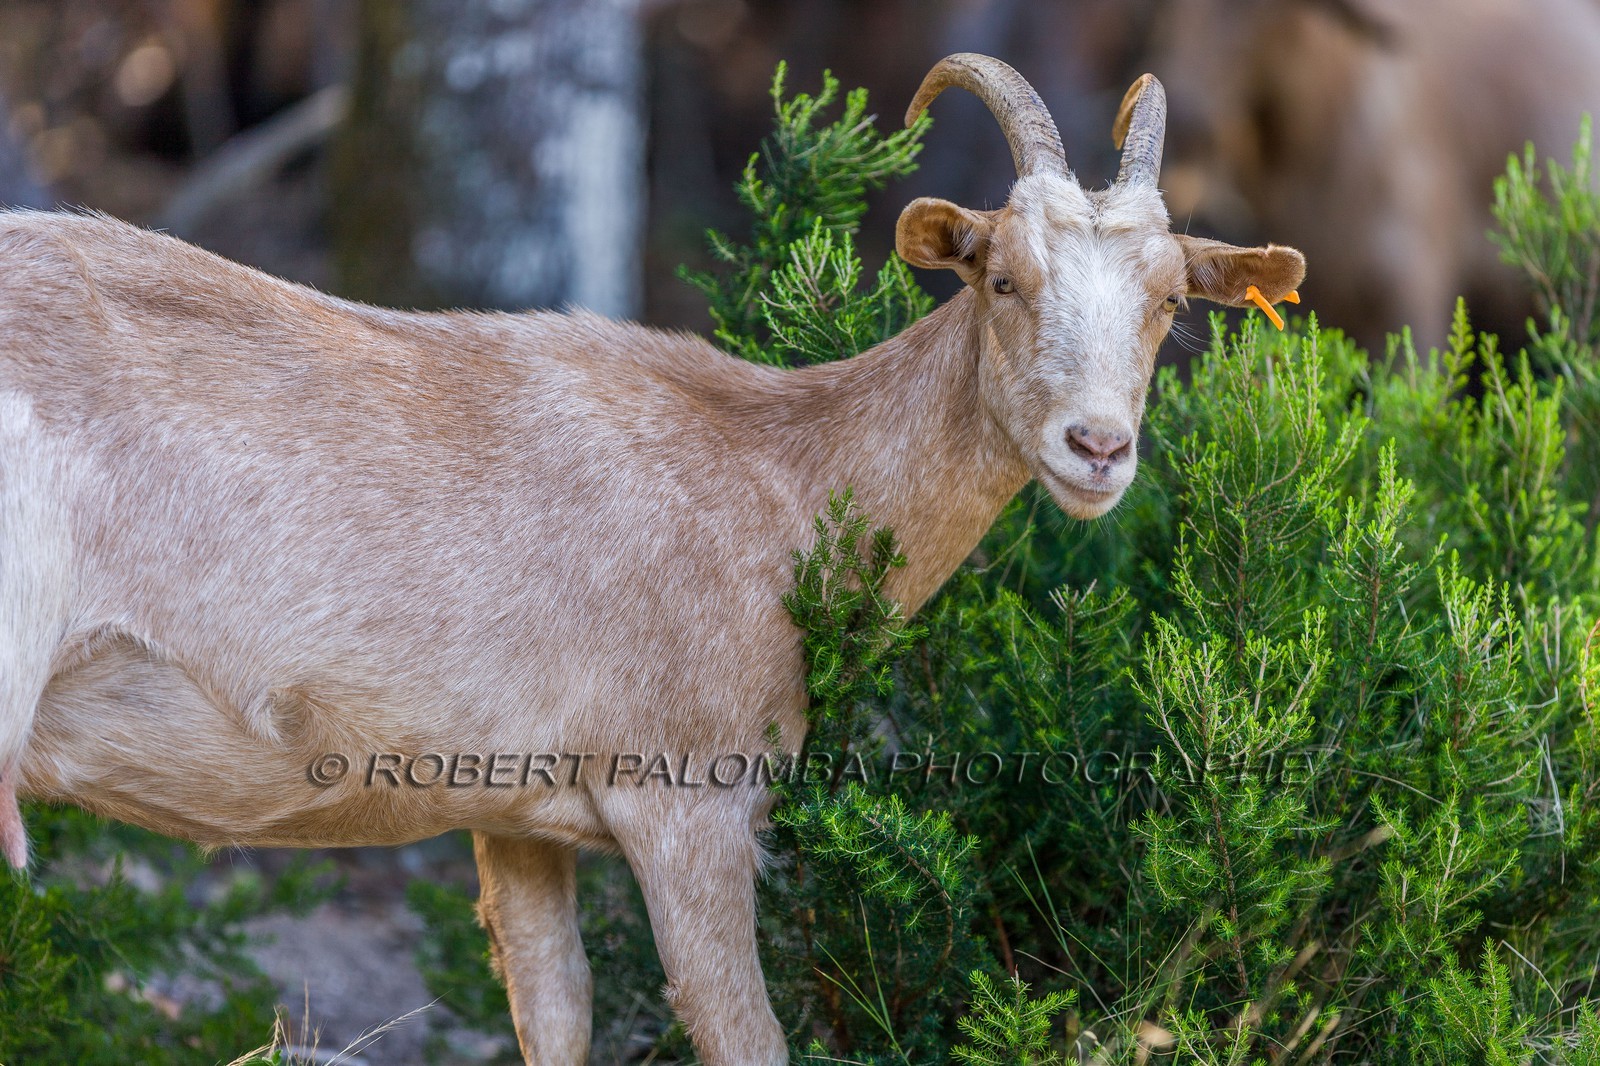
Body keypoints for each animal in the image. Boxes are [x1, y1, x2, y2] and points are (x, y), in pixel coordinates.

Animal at [0, 55, 1302, 1064]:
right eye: (1001, 276)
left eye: (1168, 299)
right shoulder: (687, 796)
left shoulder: (515, 813)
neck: (780, 481)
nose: (1098, 449)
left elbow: (555, 1012)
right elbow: (741, 1031)